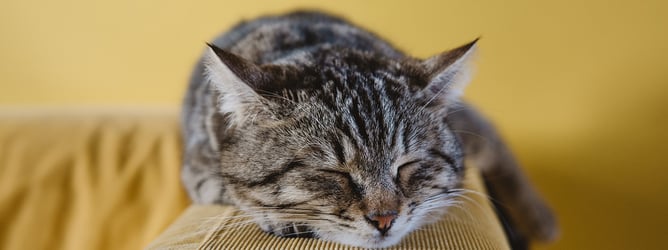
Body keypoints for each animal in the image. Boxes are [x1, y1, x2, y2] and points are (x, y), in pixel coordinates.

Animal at [183, 10, 560, 248]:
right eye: (333, 173)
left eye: (407, 165)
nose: (384, 219)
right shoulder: (198, 172)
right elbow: (230, 190)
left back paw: (541, 217)